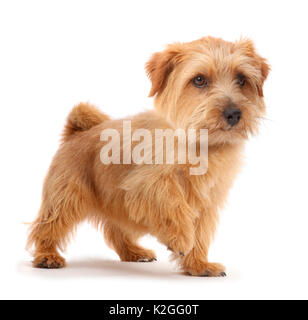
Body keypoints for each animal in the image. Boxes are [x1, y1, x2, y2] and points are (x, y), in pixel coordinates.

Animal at [28, 36, 270, 276]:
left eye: (241, 79)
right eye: (199, 80)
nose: (234, 114)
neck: (201, 143)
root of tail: (77, 131)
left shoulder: (207, 200)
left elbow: (200, 232)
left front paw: (198, 264)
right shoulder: (143, 185)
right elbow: (173, 203)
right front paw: (181, 239)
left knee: (115, 231)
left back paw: (134, 252)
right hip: (66, 197)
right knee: (47, 225)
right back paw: (47, 256)